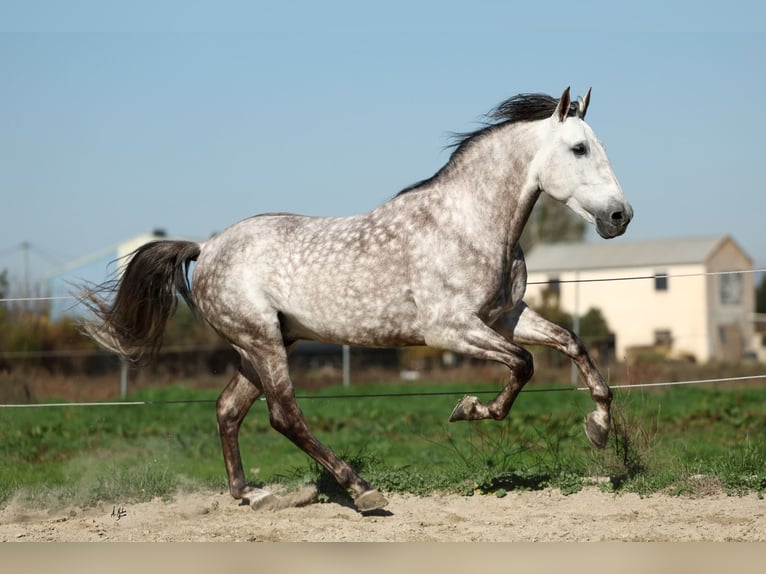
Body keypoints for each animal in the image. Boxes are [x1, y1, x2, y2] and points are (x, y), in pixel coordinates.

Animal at [82, 89, 636, 512]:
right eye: (579, 148)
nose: (620, 216)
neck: (469, 223)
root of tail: (207, 247)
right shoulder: (450, 328)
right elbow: (523, 365)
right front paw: (468, 408)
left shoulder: (504, 317)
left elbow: (572, 344)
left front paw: (598, 429)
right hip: (262, 342)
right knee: (283, 415)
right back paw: (362, 490)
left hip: (261, 345)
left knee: (228, 410)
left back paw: (252, 494)